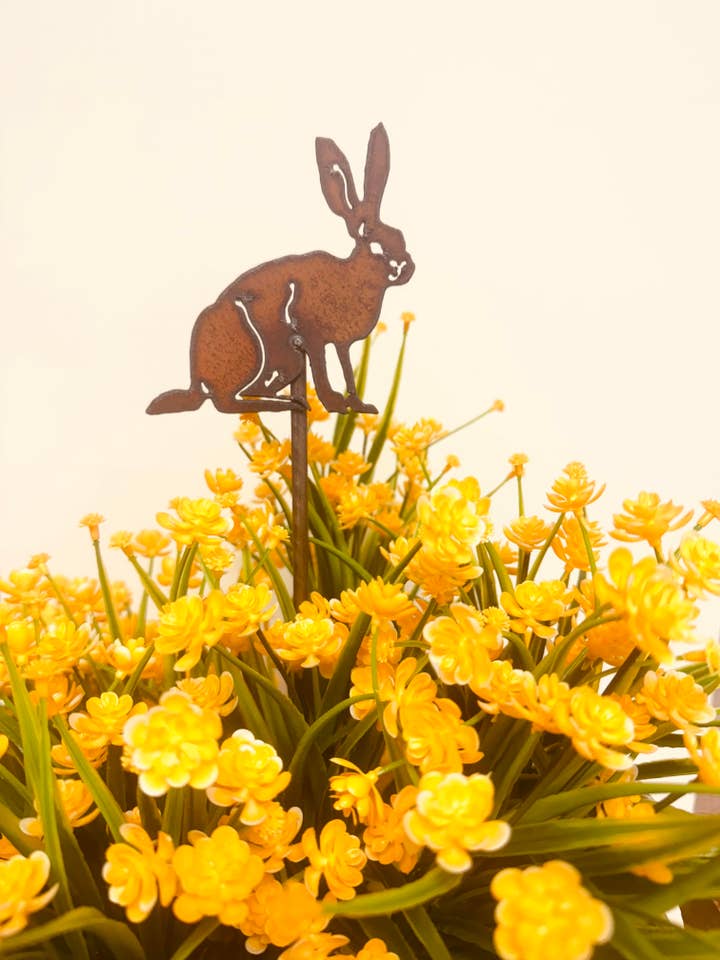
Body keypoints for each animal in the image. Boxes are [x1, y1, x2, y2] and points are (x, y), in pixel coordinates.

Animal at [147, 123, 414, 416]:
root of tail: (196, 383)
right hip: (269, 353)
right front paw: (334, 403)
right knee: (231, 400)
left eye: (401, 238)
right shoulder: (314, 338)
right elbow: (322, 373)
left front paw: (359, 406)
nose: (406, 267)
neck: (354, 275)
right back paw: (287, 404)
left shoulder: (342, 344)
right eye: (376, 246)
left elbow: (346, 370)